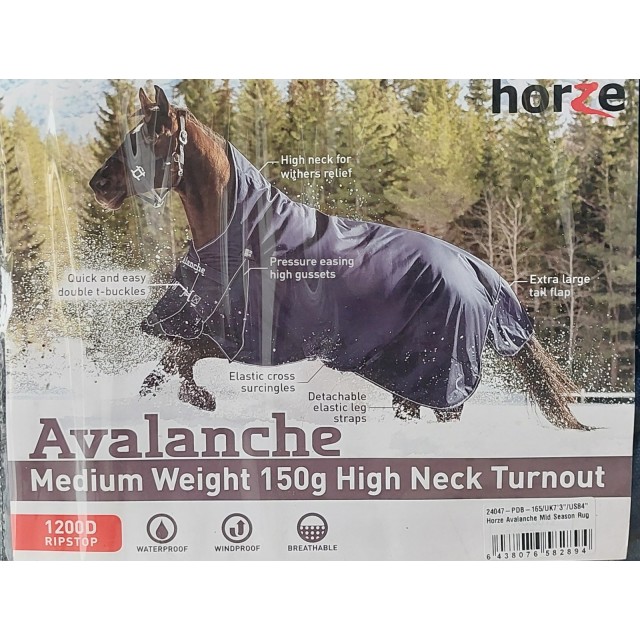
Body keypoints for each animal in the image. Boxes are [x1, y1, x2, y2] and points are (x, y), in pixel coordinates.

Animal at [89, 85, 588, 430]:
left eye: (144, 140)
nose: (99, 184)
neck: (241, 236)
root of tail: (473, 266)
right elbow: (163, 370)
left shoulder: (230, 337)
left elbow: (175, 365)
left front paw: (201, 401)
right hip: (407, 376)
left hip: (431, 374)